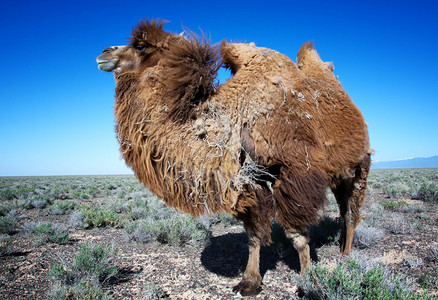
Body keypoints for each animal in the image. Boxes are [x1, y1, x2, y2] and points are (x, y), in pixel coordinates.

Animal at [96, 19, 372, 296]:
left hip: (360, 166)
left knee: (351, 211)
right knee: (344, 209)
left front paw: (307, 281)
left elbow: (298, 234)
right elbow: (254, 232)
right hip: (338, 175)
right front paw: (250, 281)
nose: (104, 53)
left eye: (140, 46)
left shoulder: (296, 170)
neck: (233, 116)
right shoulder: (250, 180)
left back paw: (347, 255)